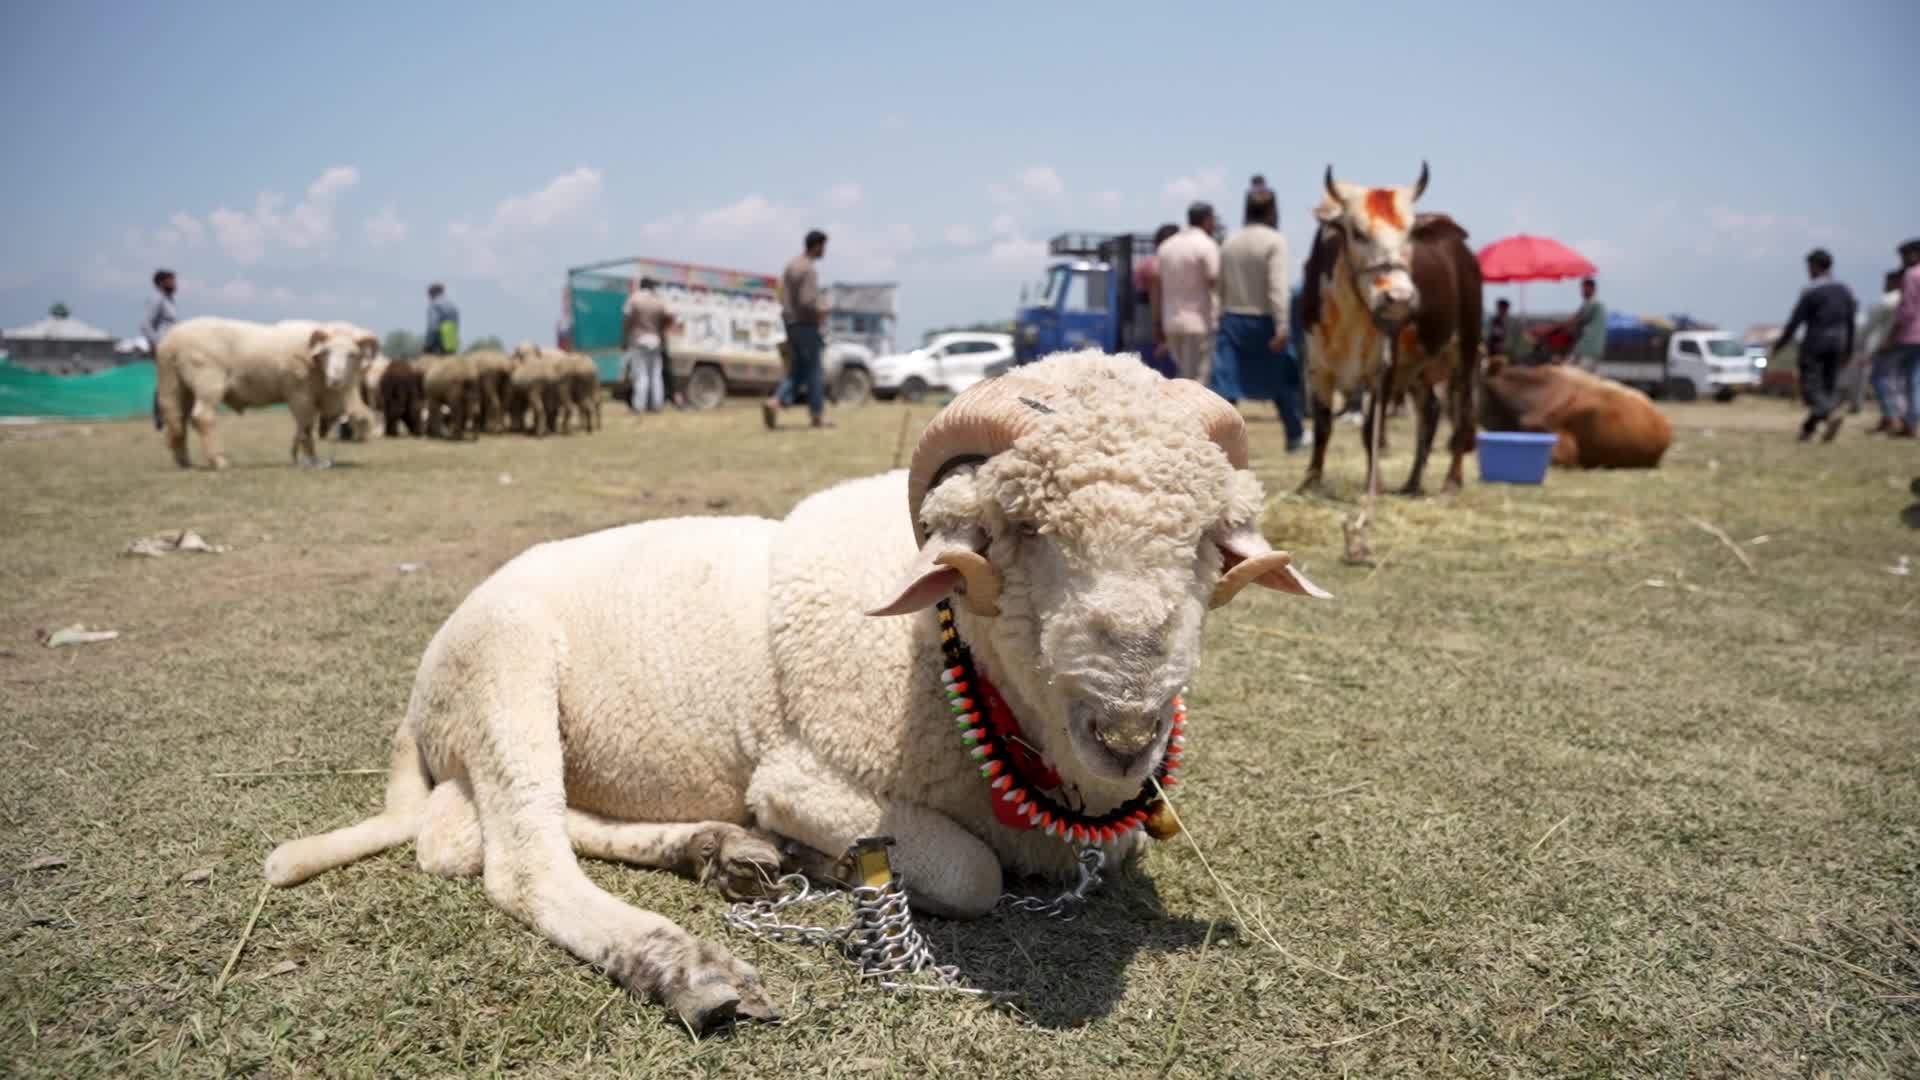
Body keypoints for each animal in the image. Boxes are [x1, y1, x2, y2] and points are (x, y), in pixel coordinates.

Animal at [157, 316, 376, 469]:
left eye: (352, 354)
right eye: (326, 352)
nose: (335, 379)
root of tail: (170, 343)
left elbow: (302, 428)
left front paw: (296, 456)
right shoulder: (299, 394)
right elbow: (306, 428)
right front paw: (311, 461)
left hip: (176, 386)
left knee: (177, 419)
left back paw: (185, 461)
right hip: (208, 382)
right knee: (202, 417)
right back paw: (219, 461)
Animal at [263, 350, 1329, 1032]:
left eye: (1208, 541)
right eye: (1017, 532)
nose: (1129, 725)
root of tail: (420, 699)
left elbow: (1100, 854)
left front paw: (776, 856)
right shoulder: (802, 776)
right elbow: (969, 875)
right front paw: (832, 863)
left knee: (494, 829)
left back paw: (720, 850)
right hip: (505, 676)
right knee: (512, 860)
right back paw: (689, 966)